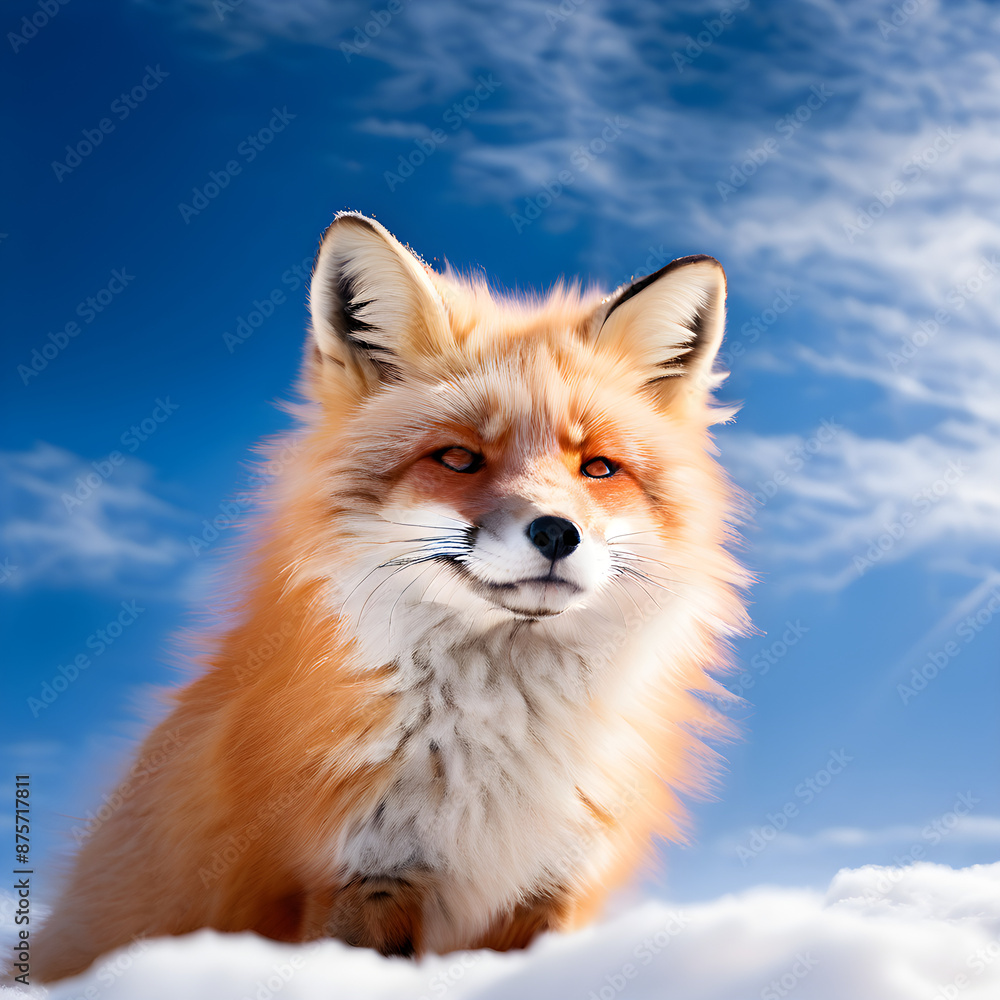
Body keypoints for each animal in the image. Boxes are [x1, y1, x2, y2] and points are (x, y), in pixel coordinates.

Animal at [33, 211, 750, 981]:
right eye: (459, 458)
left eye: (599, 468)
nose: (558, 532)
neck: (504, 741)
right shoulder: (360, 871)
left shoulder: (554, 888)